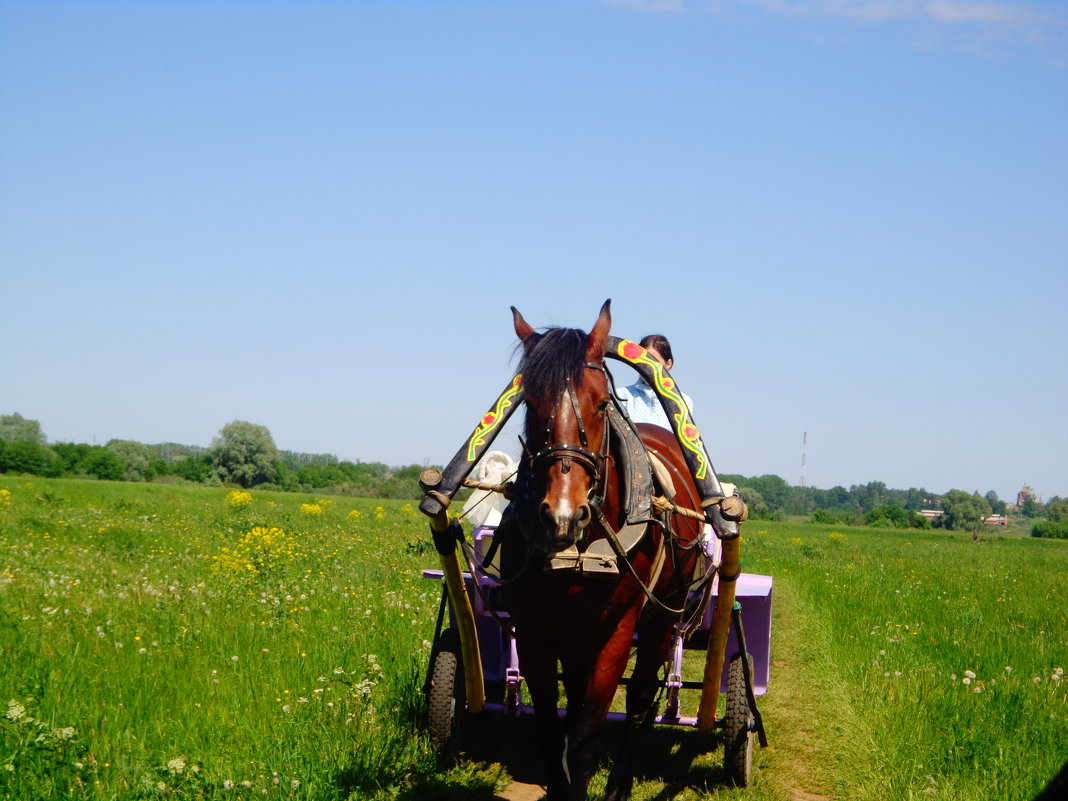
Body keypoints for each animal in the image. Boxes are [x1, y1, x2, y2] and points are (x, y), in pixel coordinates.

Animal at [497, 301, 713, 801]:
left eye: (601, 403)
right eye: (529, 403)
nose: (563, 514)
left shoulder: (616, 630)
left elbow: (584, 745)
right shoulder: (536, 629)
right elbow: (551, 734)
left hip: (662, 616)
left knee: (639, 702)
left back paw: (621, 783)